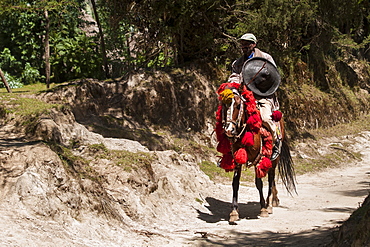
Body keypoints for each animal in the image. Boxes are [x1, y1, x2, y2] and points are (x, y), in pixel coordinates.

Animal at [215, 83, 296, 224]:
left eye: (238, 105)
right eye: (224, 106)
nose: (229, 130)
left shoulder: (259, 158)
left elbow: (259, 183)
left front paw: (263, 208)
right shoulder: (237, 160)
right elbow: (235, 184)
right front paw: (234, 212)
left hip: (274, 160)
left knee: (270, 178)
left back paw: (269, 205)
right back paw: (274, 200)